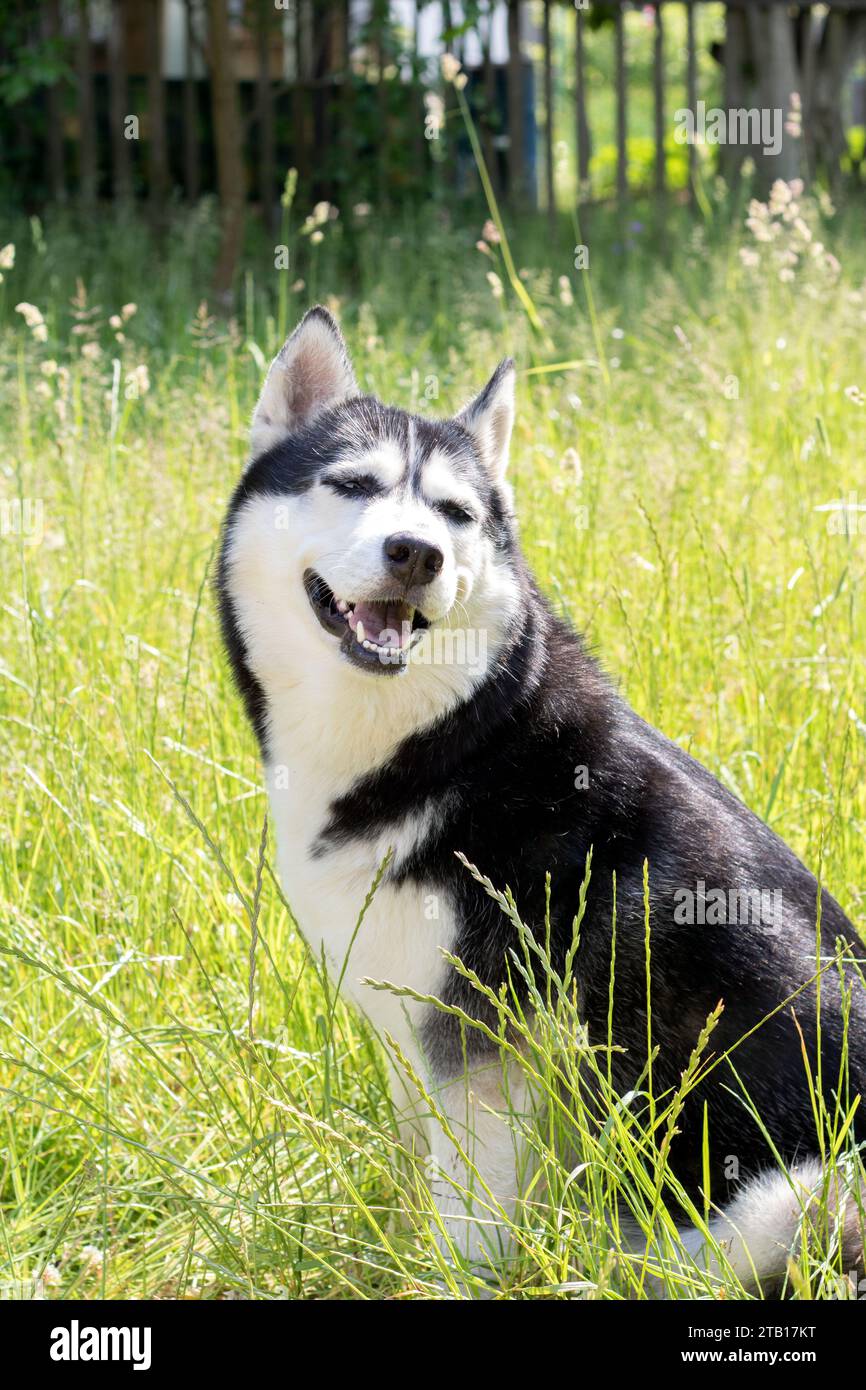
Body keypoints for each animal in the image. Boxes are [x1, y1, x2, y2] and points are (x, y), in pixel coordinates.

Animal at [218, 304, 866, 1289]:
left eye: (456, 513)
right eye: (353, 484)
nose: (417, 552)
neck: (452, 736)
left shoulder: (484, 1047)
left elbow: (468, 1223)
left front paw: (442, 1283)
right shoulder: (409, 1028)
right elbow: (415, 1180)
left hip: (800, 1190)